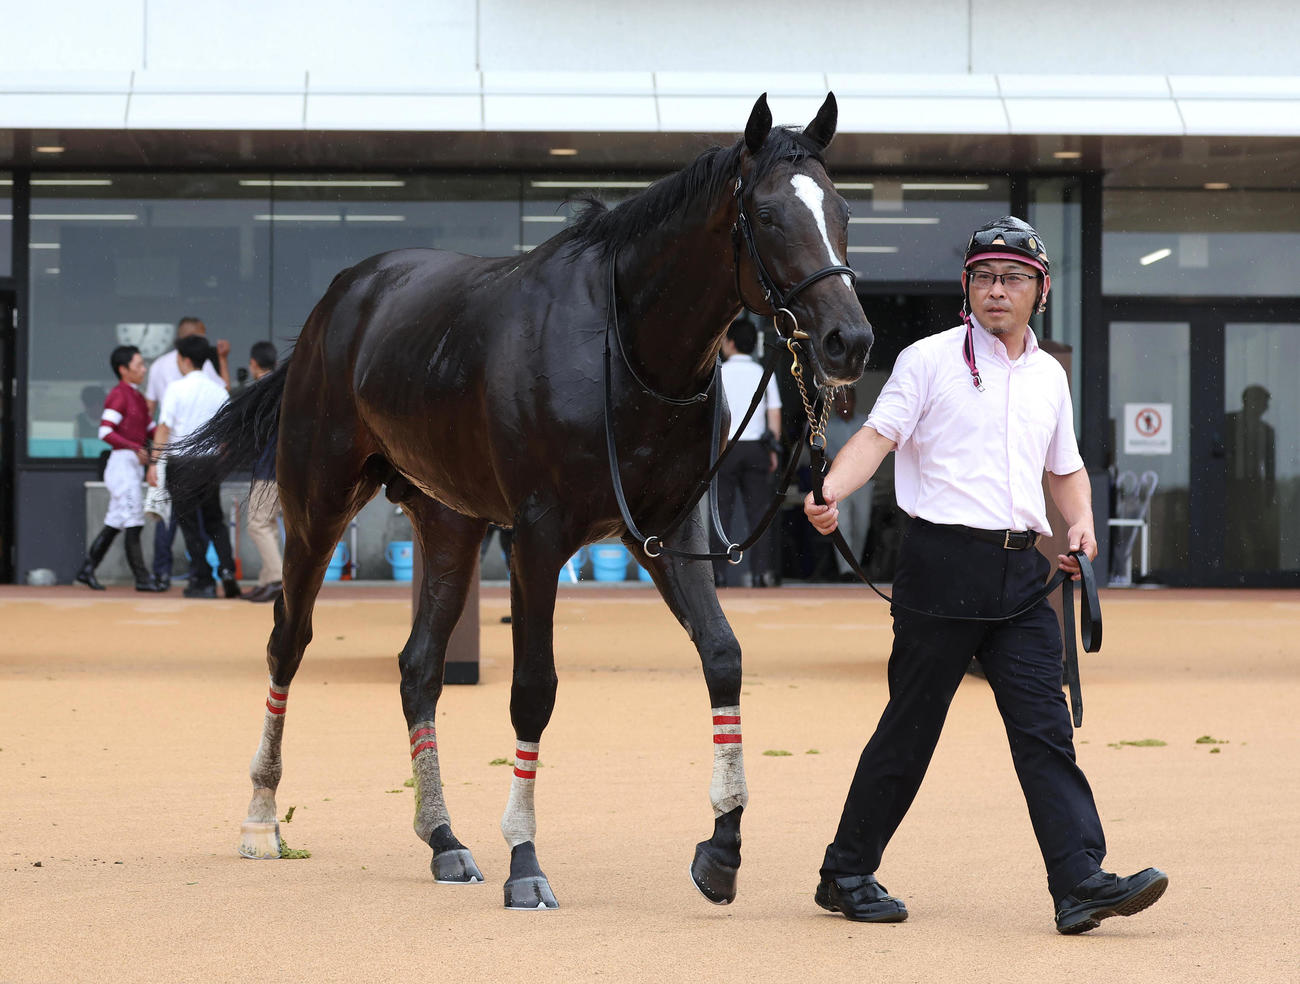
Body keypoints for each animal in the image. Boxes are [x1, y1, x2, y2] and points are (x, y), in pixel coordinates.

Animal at [170, 92, 873, 910]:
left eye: (841, 210)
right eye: (766, 215)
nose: (850, 339)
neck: (625, 347)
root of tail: (338, 302)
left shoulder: (669, 532)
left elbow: (723, 656)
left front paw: (722, 849)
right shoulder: (537, 535)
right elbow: (534, 688)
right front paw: (526, 859)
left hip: (450, 522)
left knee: (419, 667)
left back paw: (443, 838)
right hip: (318, 502)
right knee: (289, 640)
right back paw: (260, 816)